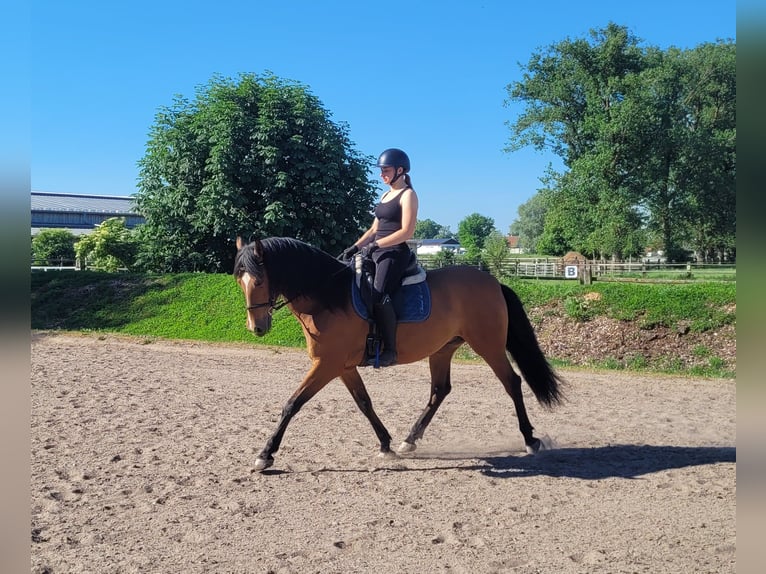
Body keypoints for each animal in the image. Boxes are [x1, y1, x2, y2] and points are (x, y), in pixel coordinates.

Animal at [233, 236, 563, 471]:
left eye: (259, 281)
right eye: (240, 281)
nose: (256, 327)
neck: (328, 297)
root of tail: (493, 282)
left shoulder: (327, 365)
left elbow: (293, 404)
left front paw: (265, 455)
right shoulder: (342, 367)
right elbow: (364, 403)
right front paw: (386, 445)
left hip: (489, 346)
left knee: (512, 383)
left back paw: (530, 440)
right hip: (443, 349)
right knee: (439, 391)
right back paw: (409, 440)